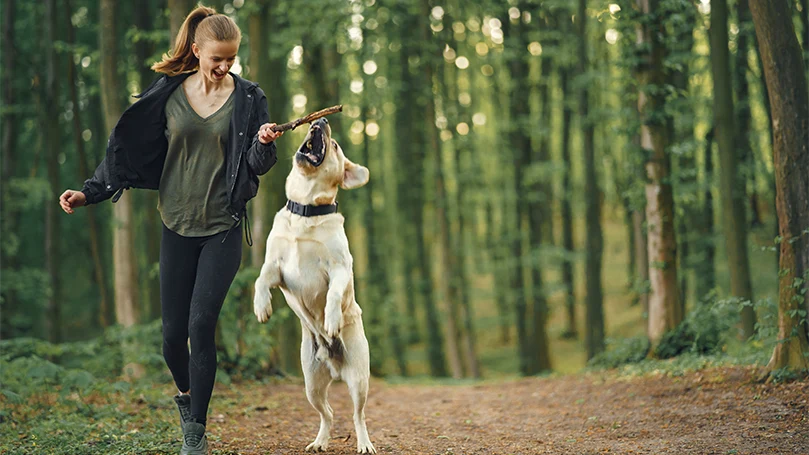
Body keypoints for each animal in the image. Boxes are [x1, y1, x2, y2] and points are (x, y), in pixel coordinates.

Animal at [252, 118, 376, 455]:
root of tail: (334, 366)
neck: (306, 209)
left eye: (334, 145)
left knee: (358, 415)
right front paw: (261, 306)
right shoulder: (276, 267)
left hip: (359, 380)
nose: (320, 120)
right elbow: (260, 279)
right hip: (311, 384)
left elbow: (333, 294)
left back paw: (364, 443)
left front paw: (332, 319)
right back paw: (320, 441)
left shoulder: (339, 268)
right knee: (328, 413)